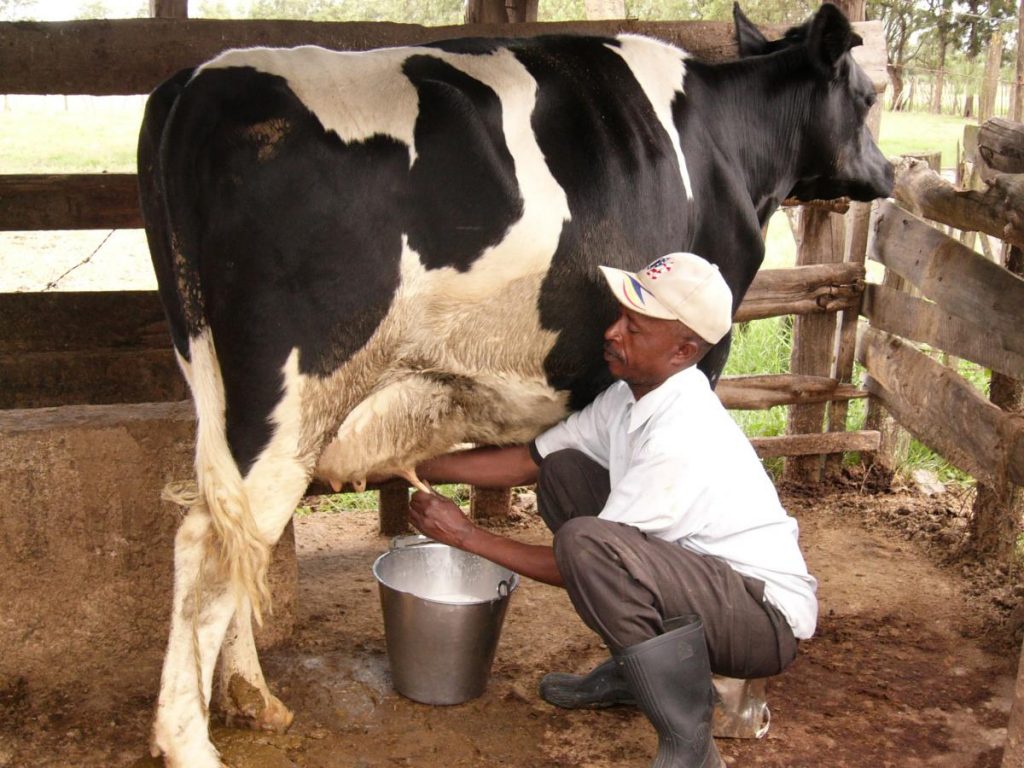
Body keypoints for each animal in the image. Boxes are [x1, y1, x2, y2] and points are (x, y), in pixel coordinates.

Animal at [140, 4, 892, 765]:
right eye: (867, 97)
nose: (888, 170)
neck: (727, 144)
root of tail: (194, 83)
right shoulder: (705, 360)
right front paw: (726, 690)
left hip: (216, 382)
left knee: (232, 536)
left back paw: (251, 698)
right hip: (287, 396)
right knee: (209, 544)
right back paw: (188, 740)